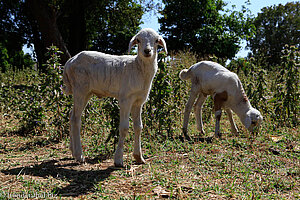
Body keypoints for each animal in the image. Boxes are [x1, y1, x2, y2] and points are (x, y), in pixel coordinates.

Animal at [62, 27, 168, 166]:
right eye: (138, 40)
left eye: (156, 40)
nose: (147, 51)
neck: (137, 68)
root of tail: (69, 62)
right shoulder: (125, 99)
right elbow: (124, 127)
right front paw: (118, 159)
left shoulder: (138, 101)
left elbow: (138, 127)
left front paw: (139, 157)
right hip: (80, 89)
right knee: (76, 119)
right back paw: (79, 155)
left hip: (85, 92)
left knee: (71, 114)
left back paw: (72, 151)